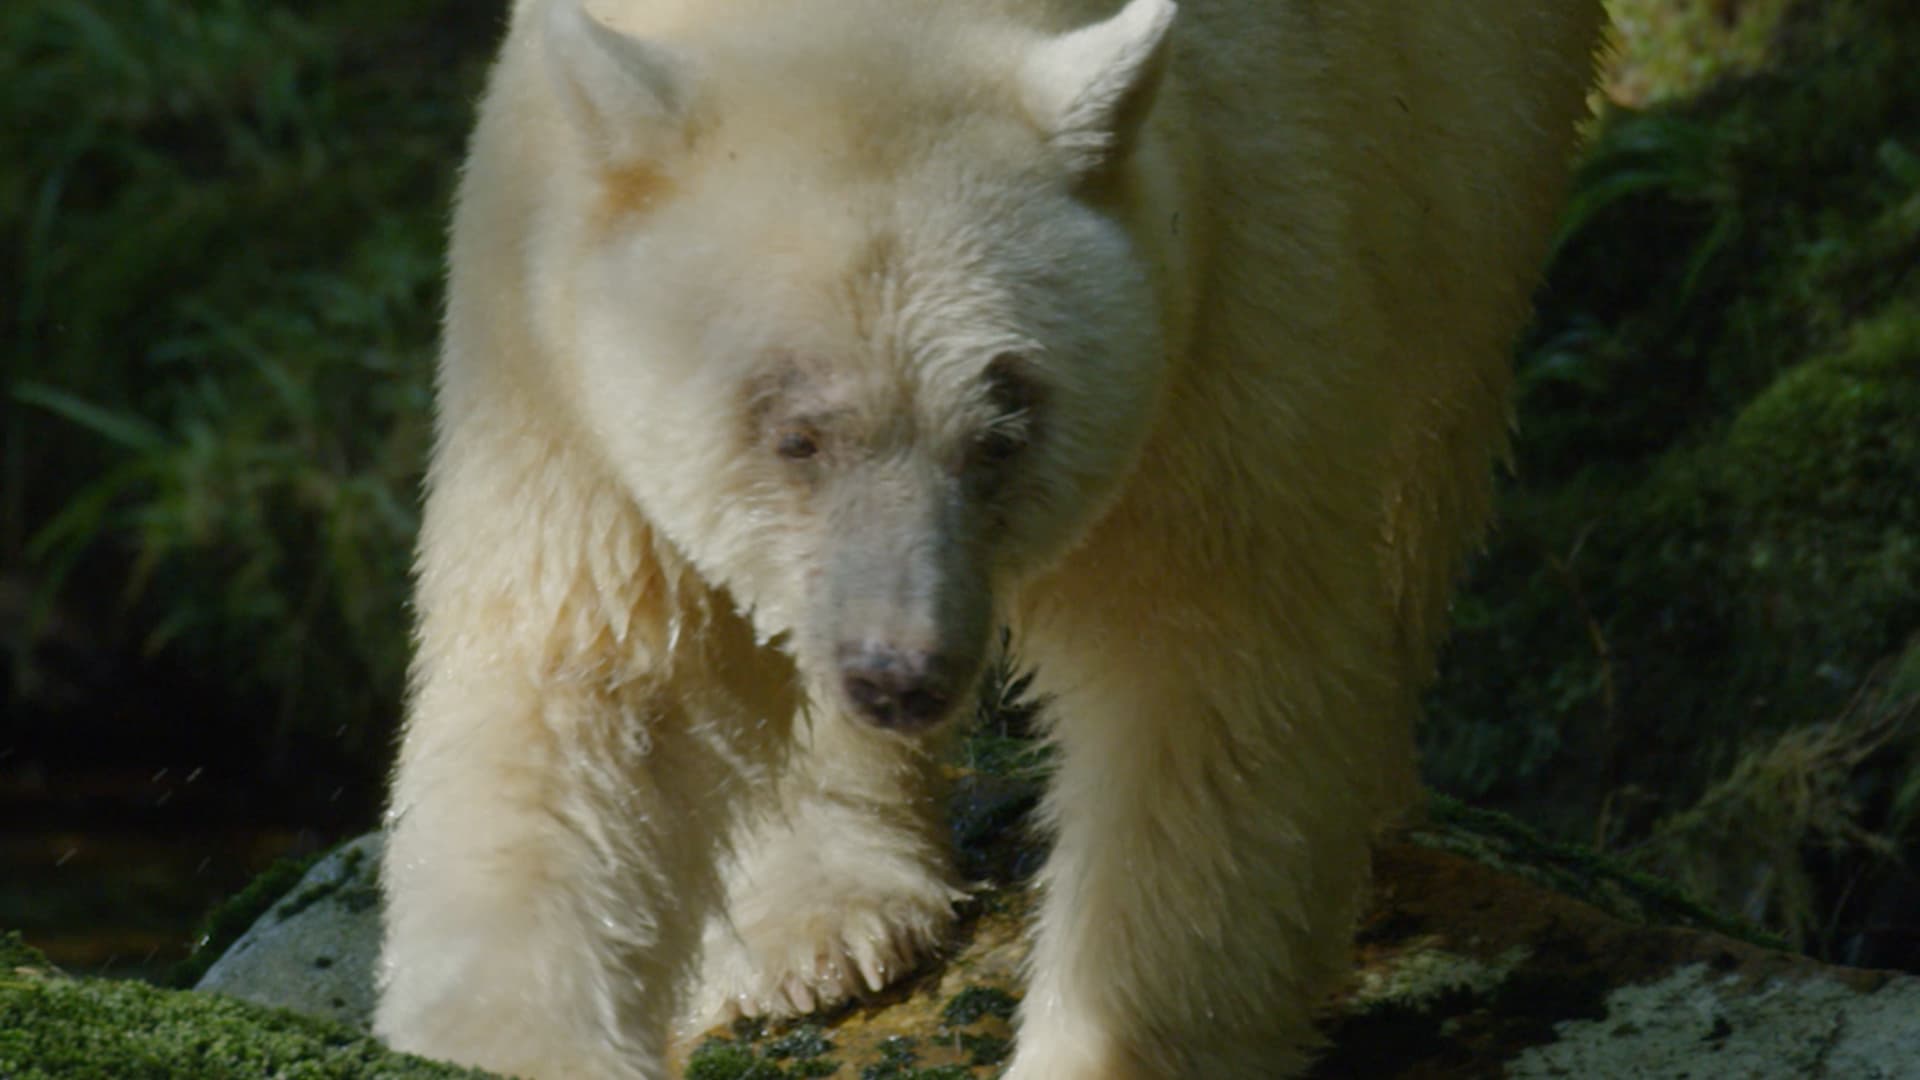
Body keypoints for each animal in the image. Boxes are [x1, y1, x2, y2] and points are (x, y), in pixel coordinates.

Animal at [374, 0, 1602, 1076]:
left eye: (1003, 430)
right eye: (795, 433)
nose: (900, 672)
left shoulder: (1219, 306)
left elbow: (1204, 692)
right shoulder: (544, 344)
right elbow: (596, 690)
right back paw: (823, 913)